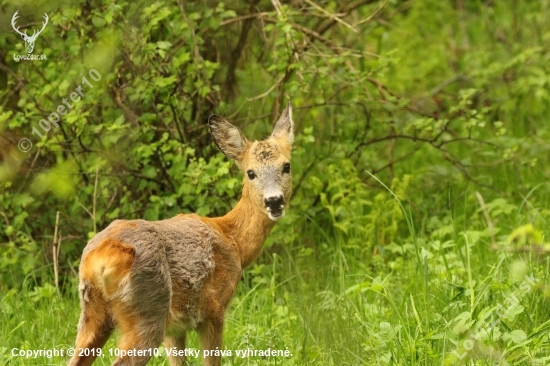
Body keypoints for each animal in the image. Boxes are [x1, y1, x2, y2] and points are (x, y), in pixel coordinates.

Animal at [69, 103, 298, 366]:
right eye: (251, 172)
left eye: (286, 166)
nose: (274, 201)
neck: (234, 241)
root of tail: (99, 258)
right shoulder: (213, 310)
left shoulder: (175, 328)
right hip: (149, 309)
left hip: (92, 314)